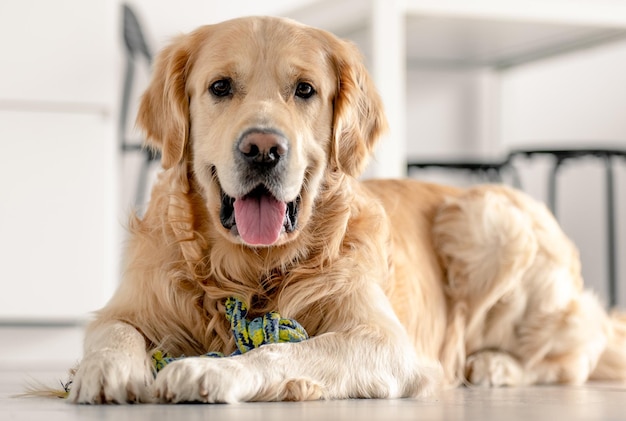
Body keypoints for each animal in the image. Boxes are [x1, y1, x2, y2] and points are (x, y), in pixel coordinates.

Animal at [67, 17, 624, 404]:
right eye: (220, 87)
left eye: (305, 90)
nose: (263, 149)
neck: (249, 270)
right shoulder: (131, 303)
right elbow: (111, 331)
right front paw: (108, 371)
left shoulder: (386, 341)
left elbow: (284, 348)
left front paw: (214, 369)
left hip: (489, 219)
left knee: (574, 354)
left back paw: (495, 366)